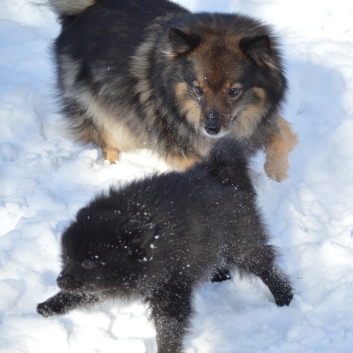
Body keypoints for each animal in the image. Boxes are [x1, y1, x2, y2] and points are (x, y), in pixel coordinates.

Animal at [37, 138, 292, 352]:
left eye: (89, 262)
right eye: (67, 257)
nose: (60, 280)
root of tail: (217, 173)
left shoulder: (170, 290)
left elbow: (169, 328)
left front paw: (166, 349)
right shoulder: (107, 282)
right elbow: (85, 292)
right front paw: (50, 306)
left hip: (242, 245)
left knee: (267, 267)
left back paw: (284, 298)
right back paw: (220, 276)